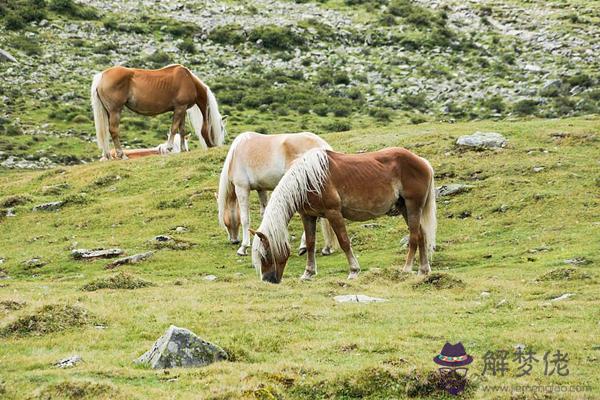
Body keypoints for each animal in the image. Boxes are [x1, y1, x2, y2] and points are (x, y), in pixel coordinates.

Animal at [91, 64, 225, 161]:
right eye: (221, 128)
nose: (216, 145)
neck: (189, 80)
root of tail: (101, 76)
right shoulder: (180, 108)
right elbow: (174, 128)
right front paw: (169, 148)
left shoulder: (182, 109)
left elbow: (182, 130)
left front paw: (183, 150)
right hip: (115, 111)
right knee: (113, 131)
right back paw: (122, 155)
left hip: (108, 112)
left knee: (106, 132)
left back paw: (107, 156)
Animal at [248, 148, 436, 284]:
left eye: (266, 255)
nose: (268, 280)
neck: (308, 180)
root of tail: (422, 162)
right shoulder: (307, 216)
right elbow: (310, 244)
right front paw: (308, 273)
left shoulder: (333, 213)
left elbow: (344, 241)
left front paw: (353, 271)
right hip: (405, 208)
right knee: (421, 235)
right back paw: (423, 270)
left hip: (413, 206)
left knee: (414, 237)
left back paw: (406, 269)